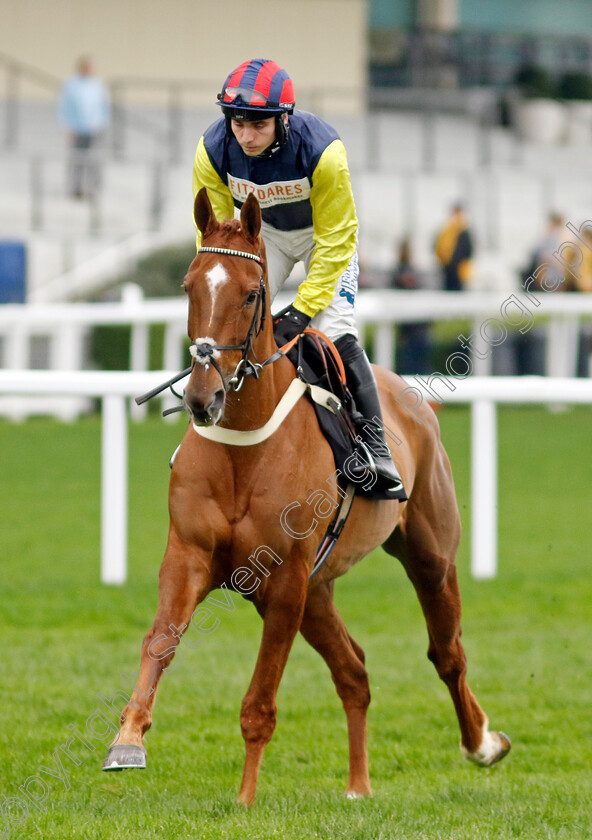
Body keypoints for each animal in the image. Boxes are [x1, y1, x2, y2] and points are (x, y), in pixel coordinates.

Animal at [104, 189, 512, 800]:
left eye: (253, 294)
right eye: (188, 285)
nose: (204, 397)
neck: (244, 449)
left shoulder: (285, 582)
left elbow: (259, 702)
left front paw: (245, 799)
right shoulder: (190, 557)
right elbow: (160, 641)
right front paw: (128, 739)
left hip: (428, 556)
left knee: (448, 653)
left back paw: (482, 744)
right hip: (319, 590)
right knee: (355, 671)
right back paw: (358, 786)